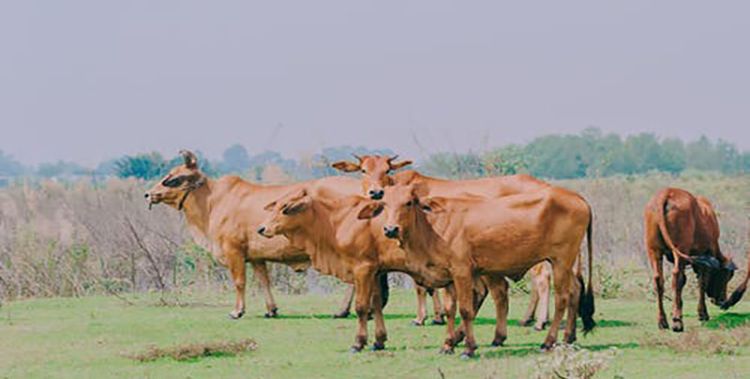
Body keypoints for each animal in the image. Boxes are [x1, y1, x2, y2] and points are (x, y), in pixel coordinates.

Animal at [145, 151, 362, 320]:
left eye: (173, 178)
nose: (148, 194)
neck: (212, 202)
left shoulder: (233, 251)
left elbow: (239, 282)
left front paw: (237, 311)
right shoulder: (257, 257)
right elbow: (264, 281)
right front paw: (271, 310)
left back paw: (343, 310)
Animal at [332, 156, 556, 332]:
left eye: (387, 170)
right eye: (363, 170)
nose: (376, 192)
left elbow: (421, 286)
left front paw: (422, 318)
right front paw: (438, 316)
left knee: (542, 278)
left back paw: (538, 322)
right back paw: (530, 319)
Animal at [360, 186, 600, 358]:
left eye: (408, 203)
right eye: (384, 204)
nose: (390, 229)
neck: (434, 227)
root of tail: (577, 197)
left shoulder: (462, 272)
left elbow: (466, 310)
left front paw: (468, 348)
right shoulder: (449, 277)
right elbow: (450, 310)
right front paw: (448, 345)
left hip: (561, 261)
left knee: (562, 298)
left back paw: (548, 341)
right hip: (565, 264)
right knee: (575, 290)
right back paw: (568, 337)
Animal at [644, 189, 744, 332]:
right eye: (727, 276)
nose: (721, 300)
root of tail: (666, 192)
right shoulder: (706, 256)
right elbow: (702, 283)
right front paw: (703, 313)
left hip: (654, 251)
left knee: (658, 279)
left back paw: (662, 321)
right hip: (680, 250)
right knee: (677, 277)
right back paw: (677, 322)